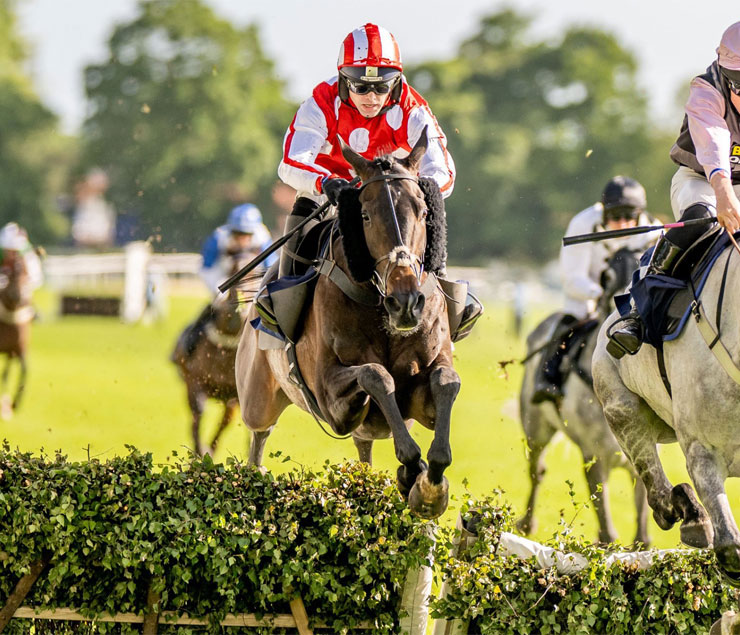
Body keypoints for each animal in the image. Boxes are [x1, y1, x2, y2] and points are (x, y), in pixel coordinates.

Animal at [236, 130, 456, 520]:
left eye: (423, 210)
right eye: (365, 215)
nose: (405, 302)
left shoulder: (421, 393)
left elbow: (445, 382)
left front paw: (429, 484)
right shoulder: (331, 401)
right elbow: (375, 374)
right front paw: (413, 469)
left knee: (364, 448)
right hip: (257, 397)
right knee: (258, 437)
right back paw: (255, 474)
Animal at [520, 248, 648, 548]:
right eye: (607, 276)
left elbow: (642, 531)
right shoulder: (594, 455)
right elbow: (607, 531)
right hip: (536, 427)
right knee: (536, 470)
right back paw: (527, 523)